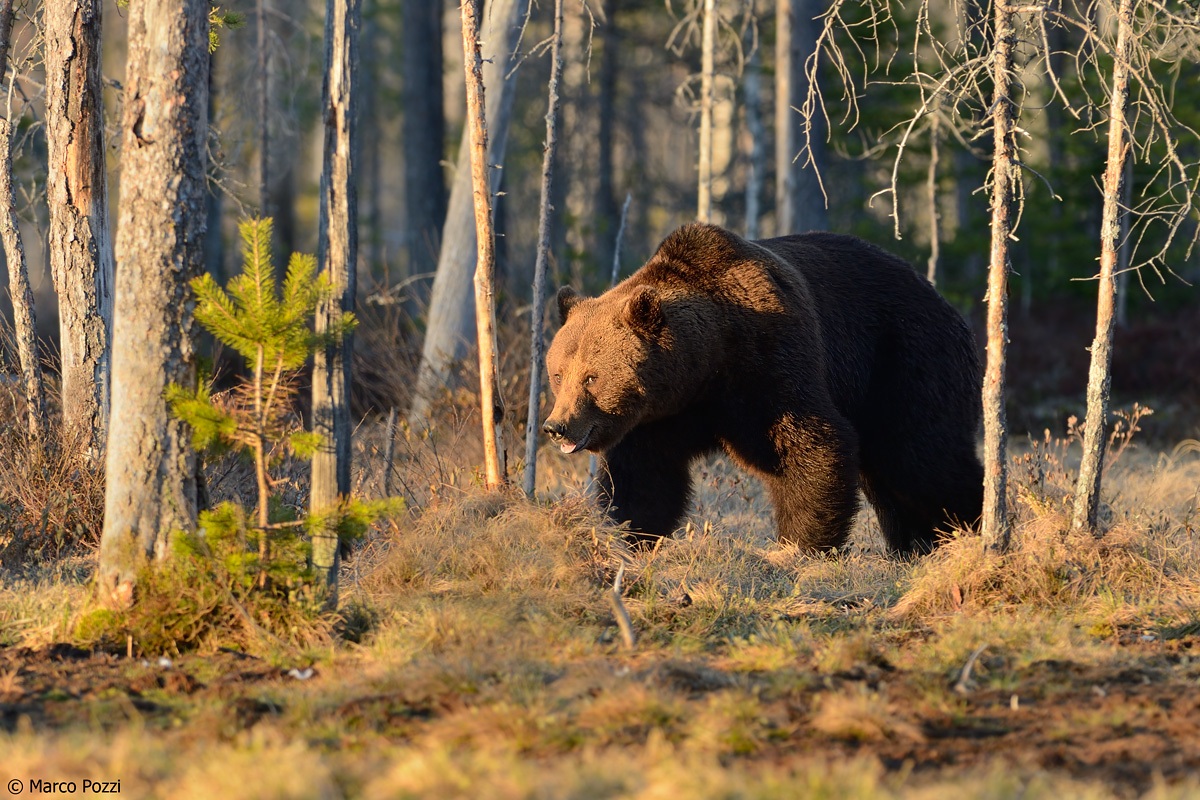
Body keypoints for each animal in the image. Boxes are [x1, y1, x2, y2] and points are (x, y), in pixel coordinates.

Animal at [542, 222, 983, 554]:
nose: (556, 427)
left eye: (592, 377)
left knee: (922, 456)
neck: (707, 364)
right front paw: (631, 534)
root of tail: (943, 301)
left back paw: (966, 529)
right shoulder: (662, 414)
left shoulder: (769, 363)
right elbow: (642, 475)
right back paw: (917, 543)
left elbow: (809, 448)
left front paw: (800, 544)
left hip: (904, 360)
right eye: (559, 374)